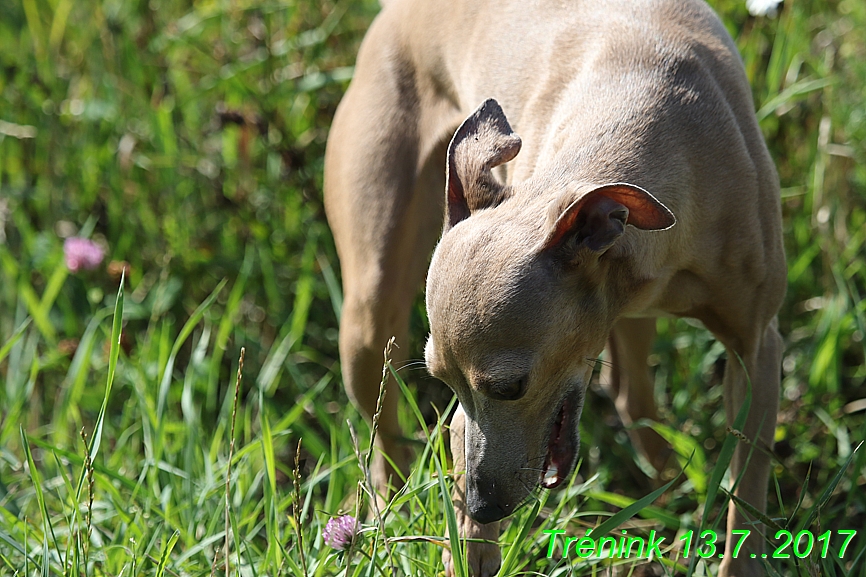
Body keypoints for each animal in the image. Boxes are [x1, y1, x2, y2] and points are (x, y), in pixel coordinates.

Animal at [324, 1, 784, 576]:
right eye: (443, 382)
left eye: (510, 386)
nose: (481, 504)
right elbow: (463, 466)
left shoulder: (756, 350)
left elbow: (748, 489)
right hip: (367, 318)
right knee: (383, 446)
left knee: (630, 392)